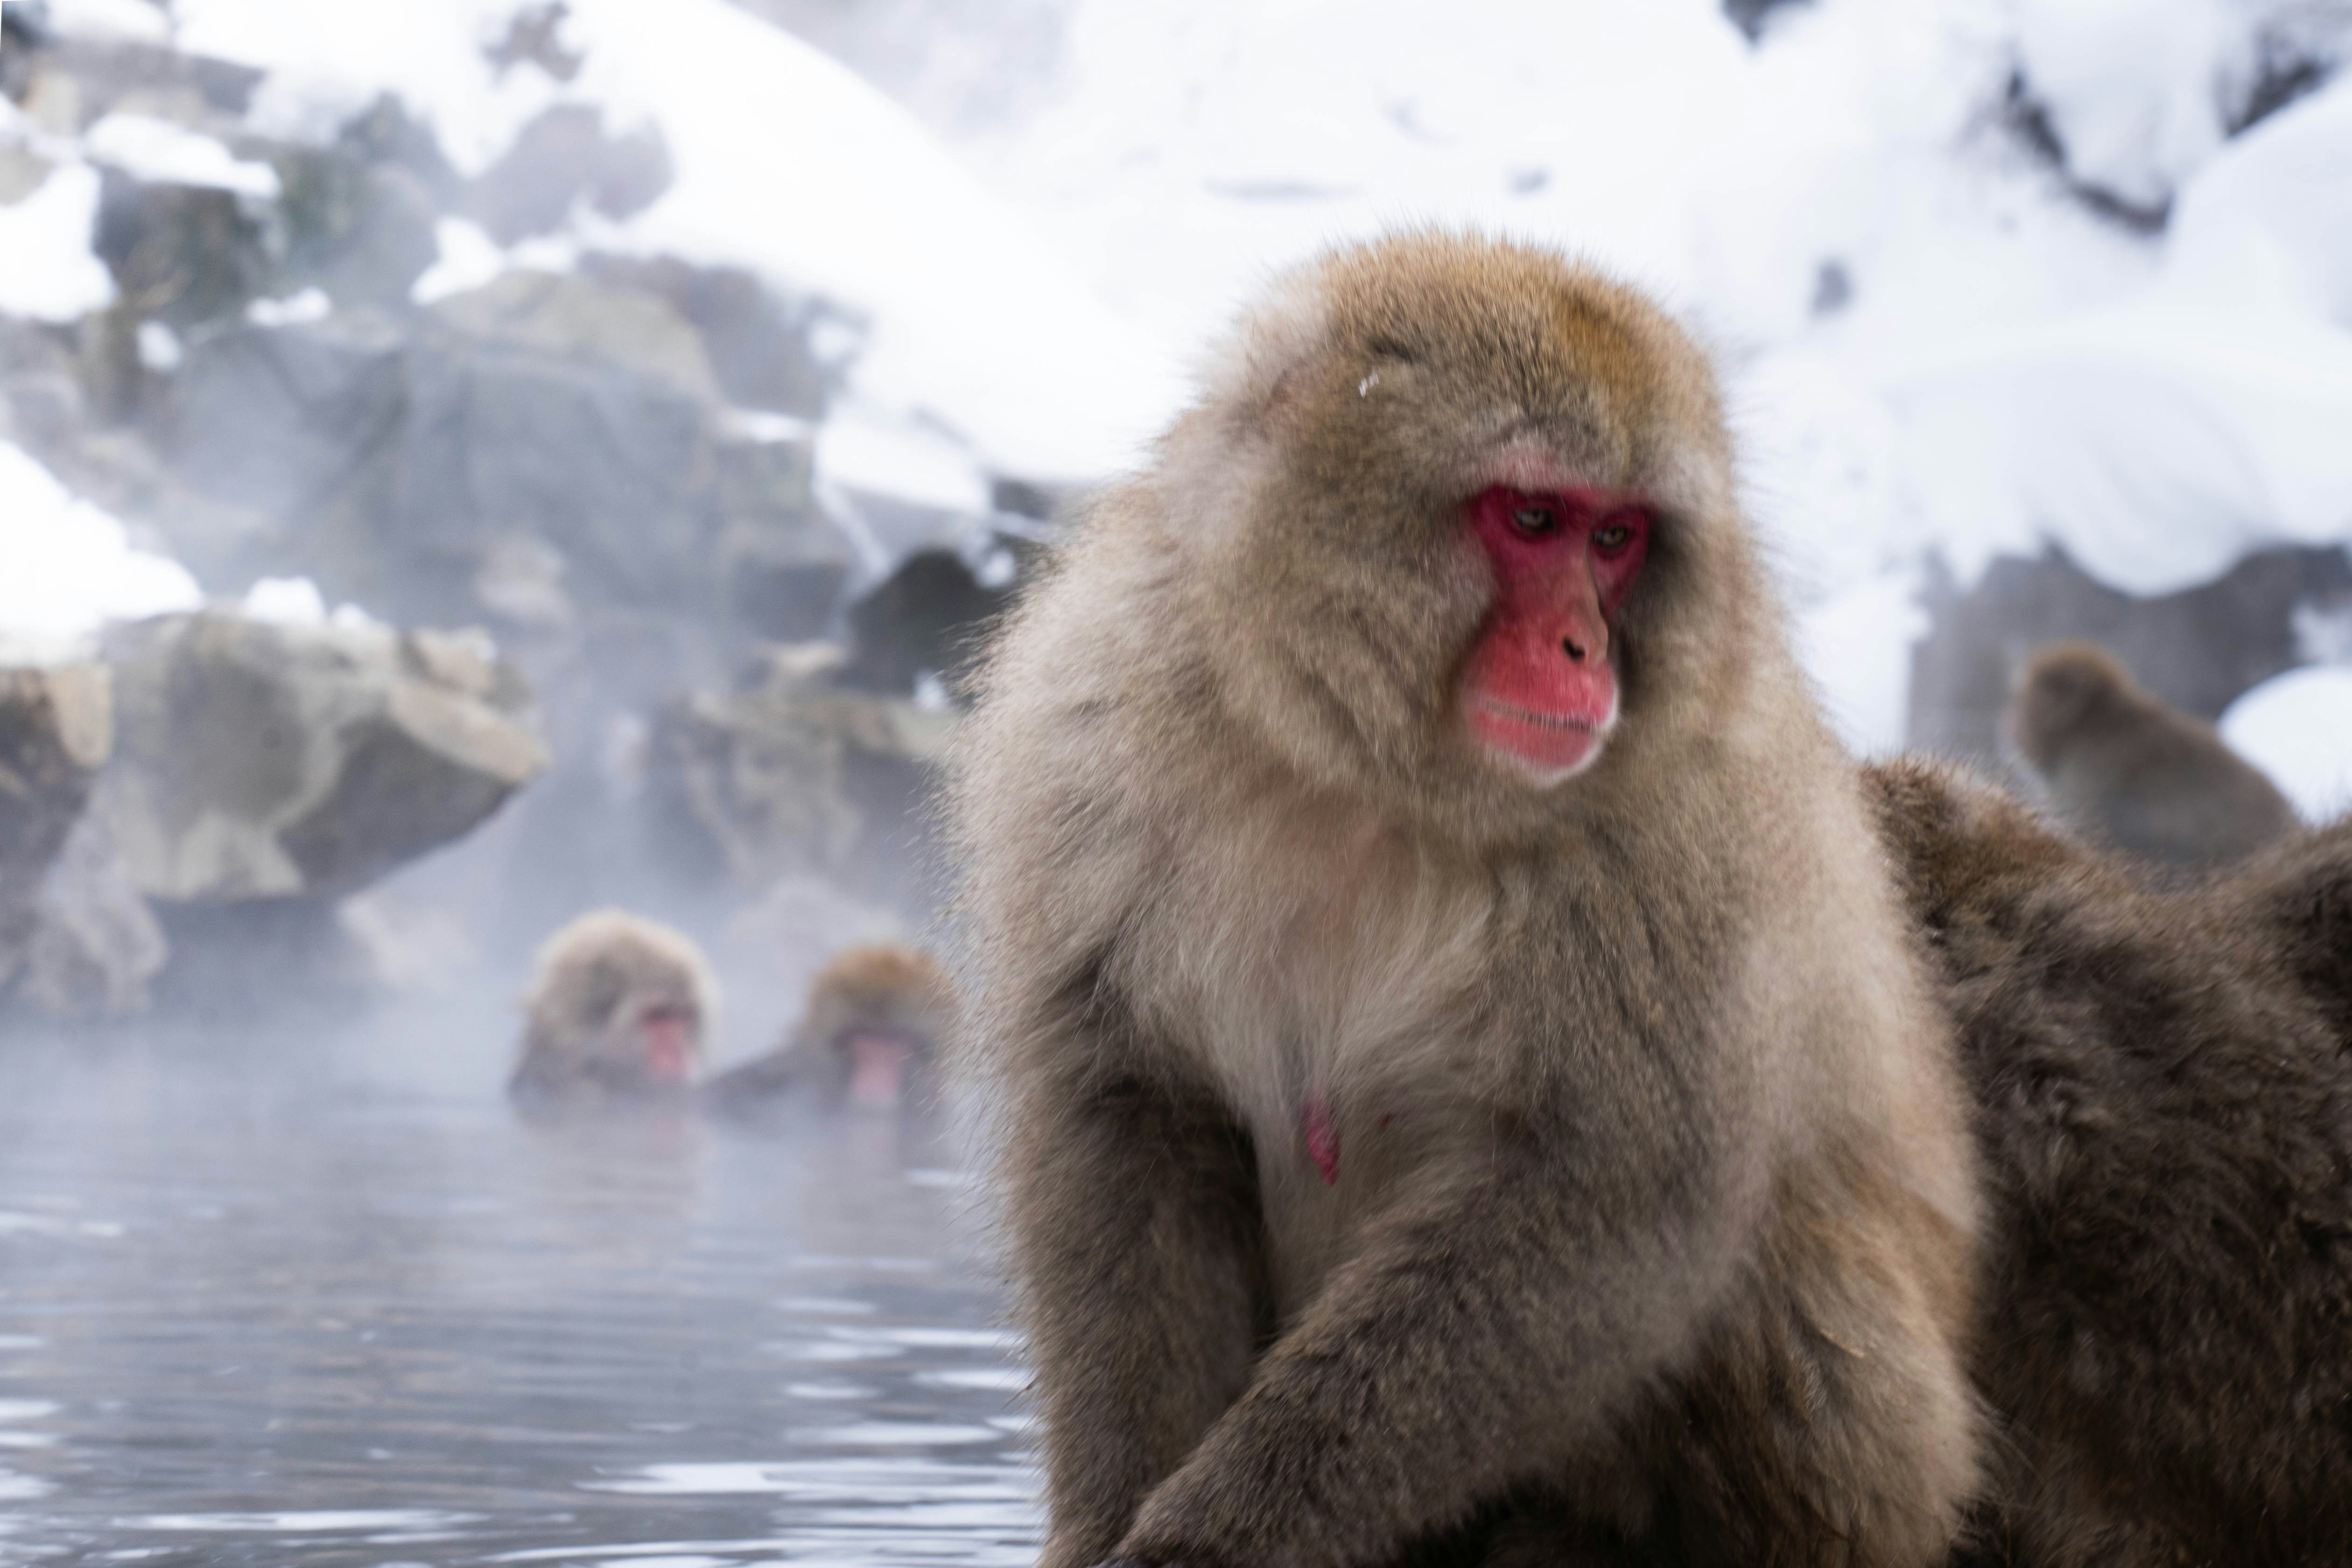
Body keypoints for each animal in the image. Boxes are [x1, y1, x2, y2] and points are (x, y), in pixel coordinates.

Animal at [947, 232, 1982, 1568]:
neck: (1365, 775)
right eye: (1533, 517)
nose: (1583, 650)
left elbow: (1608, 1188)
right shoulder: (1088, 723)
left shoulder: (1686, 817)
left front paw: (1207, 1541)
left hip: (1883, 1462)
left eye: (1616, 538)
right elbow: (1127, 1108)